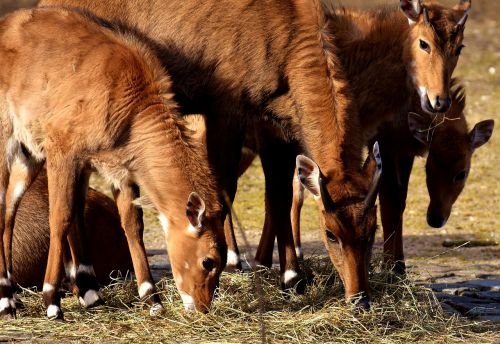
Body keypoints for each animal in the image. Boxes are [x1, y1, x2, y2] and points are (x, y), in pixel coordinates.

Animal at [0, 8, 225, 320]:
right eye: (208, 261)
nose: (202, 307)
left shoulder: (115, 171)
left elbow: (131, 225)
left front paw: (150, 299)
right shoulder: (63, 153)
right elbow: (61, 218)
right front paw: (52, 300)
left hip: (28, 154)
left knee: (9, 210)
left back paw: (12, 297)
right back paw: (7, 300)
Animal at [40, 0, 372, 294]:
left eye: (371, 231)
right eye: (330, 233)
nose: (360, 298)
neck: (288, 33)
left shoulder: (279, 128)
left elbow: (279, 197)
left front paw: (292, 277)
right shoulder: (227, 113)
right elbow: (225, 191)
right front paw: (226, 269)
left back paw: (86, 282)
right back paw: (86, 285)